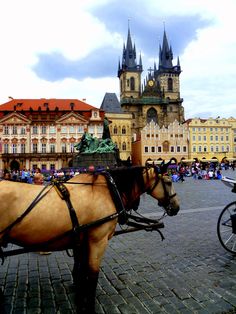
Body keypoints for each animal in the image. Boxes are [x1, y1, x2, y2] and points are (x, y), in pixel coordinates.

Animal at [0, 166, 180, 312]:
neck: (107, 191)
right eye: (168, 182)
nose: (176, 207)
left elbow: (80, 269)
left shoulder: (81, 240)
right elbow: (92, 274)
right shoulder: (98, 241)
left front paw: (79, 296)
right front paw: (88, 306)